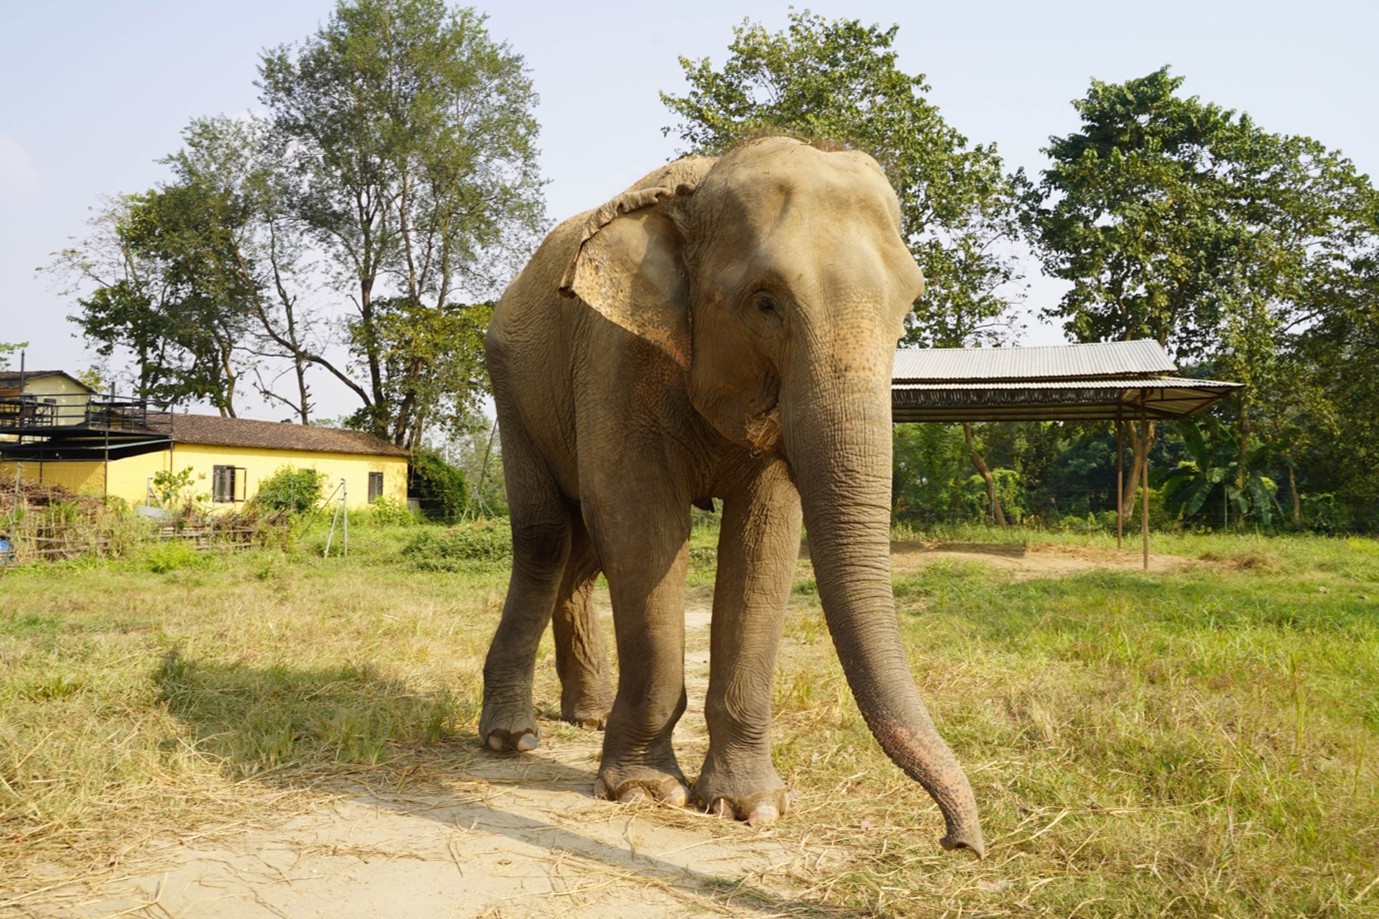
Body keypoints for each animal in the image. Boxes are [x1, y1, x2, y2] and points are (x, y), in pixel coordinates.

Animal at [479, 136, 984, 856]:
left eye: (908, 307)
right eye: (765, 302)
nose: (957, 842)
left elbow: (766, 534)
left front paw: (750, 807)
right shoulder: (616, 352)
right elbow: (641, 522)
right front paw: (643, 792)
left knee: (581, 551)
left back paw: (588, 715)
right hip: (511, 387)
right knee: (547, 539)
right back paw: (513, 738)